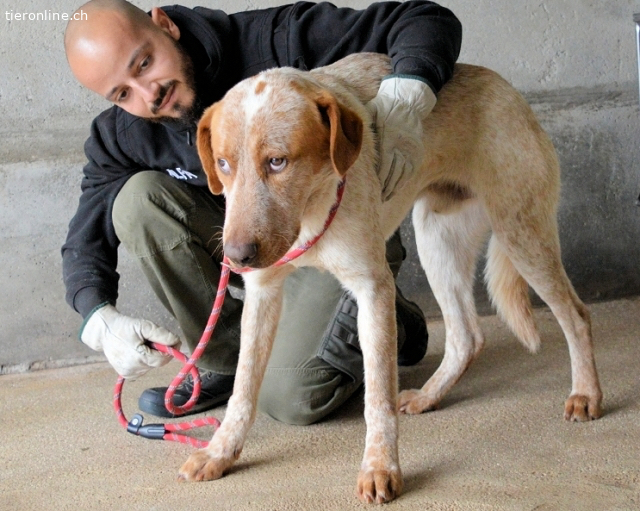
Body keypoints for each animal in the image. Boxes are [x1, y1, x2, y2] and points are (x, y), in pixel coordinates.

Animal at [178, 53, 603, 503]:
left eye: (277, 161)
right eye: (223, 164)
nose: (236, 257)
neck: (311, 207)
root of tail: (509, 90)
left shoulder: (372, 289)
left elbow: (377, 397)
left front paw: (380, 467)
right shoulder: (262, 293)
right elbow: (243, 386)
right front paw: (220, 451)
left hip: (521, 234)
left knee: (576, 316)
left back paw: (586, 394)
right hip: (437, 240)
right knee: (467, 337)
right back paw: (432, 395)